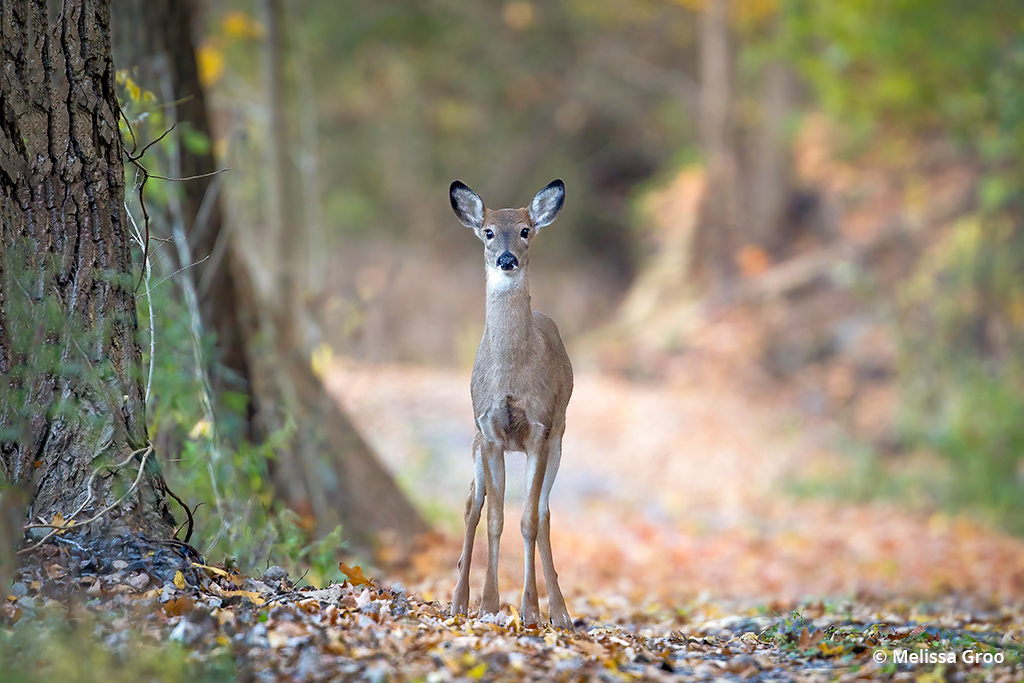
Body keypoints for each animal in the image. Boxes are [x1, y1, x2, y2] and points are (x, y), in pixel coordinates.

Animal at [450, 178, 573, 630]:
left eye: (524, 229)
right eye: (487, 231)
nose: (506, 259)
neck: (512, 372)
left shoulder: (538, 430)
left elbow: (528, 519)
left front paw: (530, 609)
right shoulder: (489, 431)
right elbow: (494, 518)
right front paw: (487, 604)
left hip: (559, 438)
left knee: (545, 512)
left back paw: (560, 611)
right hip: (473, 441)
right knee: (471, 504)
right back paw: (458, 600)